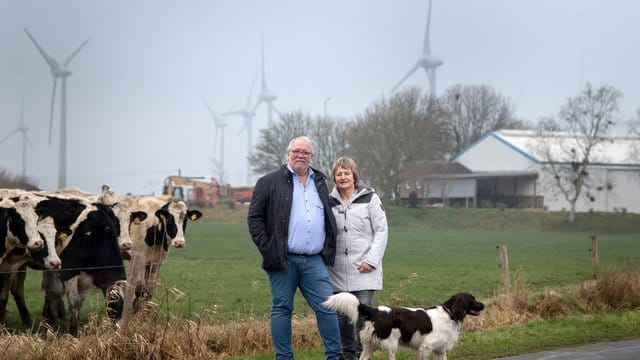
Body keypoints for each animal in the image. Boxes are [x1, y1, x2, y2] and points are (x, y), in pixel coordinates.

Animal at [322, 292, 482, 358]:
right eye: (472, 300)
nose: (484, 305)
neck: (449, 314)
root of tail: (375, 310)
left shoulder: (440, 349)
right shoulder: (427, 346)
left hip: (369, 346)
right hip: (391, 345)